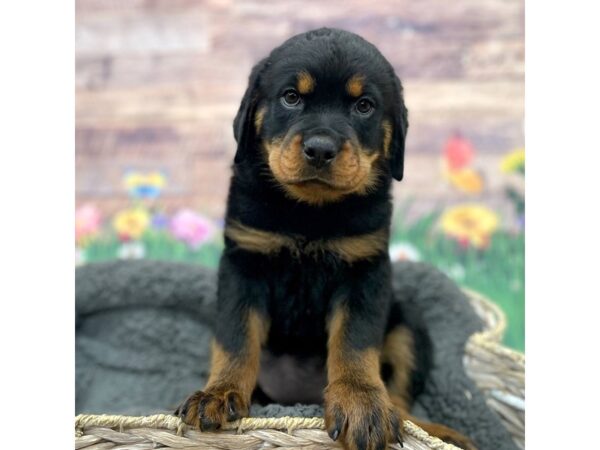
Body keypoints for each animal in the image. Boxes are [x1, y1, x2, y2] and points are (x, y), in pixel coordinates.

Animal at [176, 28, 476, 450]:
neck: (311, 211)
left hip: (407, 327)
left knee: (401, 402)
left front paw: (360, 403)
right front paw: (218, 394)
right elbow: (236, 338)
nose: (320, 149)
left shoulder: (364, 270)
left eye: (364, 106)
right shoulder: (244, 262)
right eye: (291, 97)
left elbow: (354, 342)